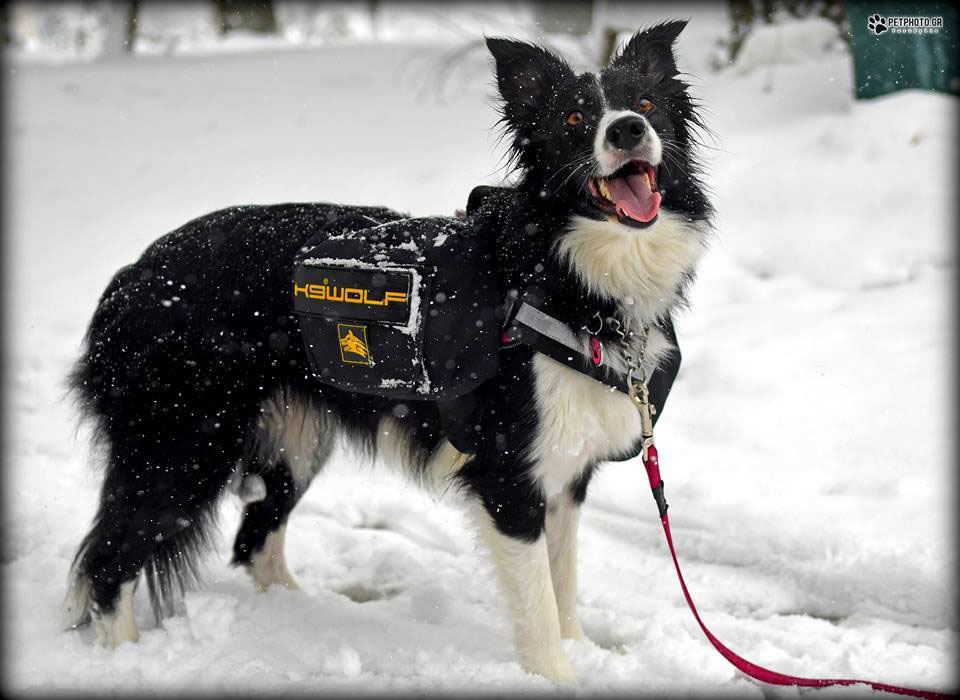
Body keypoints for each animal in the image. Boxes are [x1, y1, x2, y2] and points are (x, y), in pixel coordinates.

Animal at [58, 20, 704, 684]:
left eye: (646, 104)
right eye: (574, 118)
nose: (627, 129)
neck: (564, 275)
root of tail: (133, 277)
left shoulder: (566, 471)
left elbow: (564, 582)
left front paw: (581, 653)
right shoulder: (507, 473)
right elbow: (539, 603)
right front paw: (557, 677)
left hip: (292, 442)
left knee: (255, 539)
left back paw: (292, 611)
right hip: (181, 445)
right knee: (109, 558)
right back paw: (125, 654)